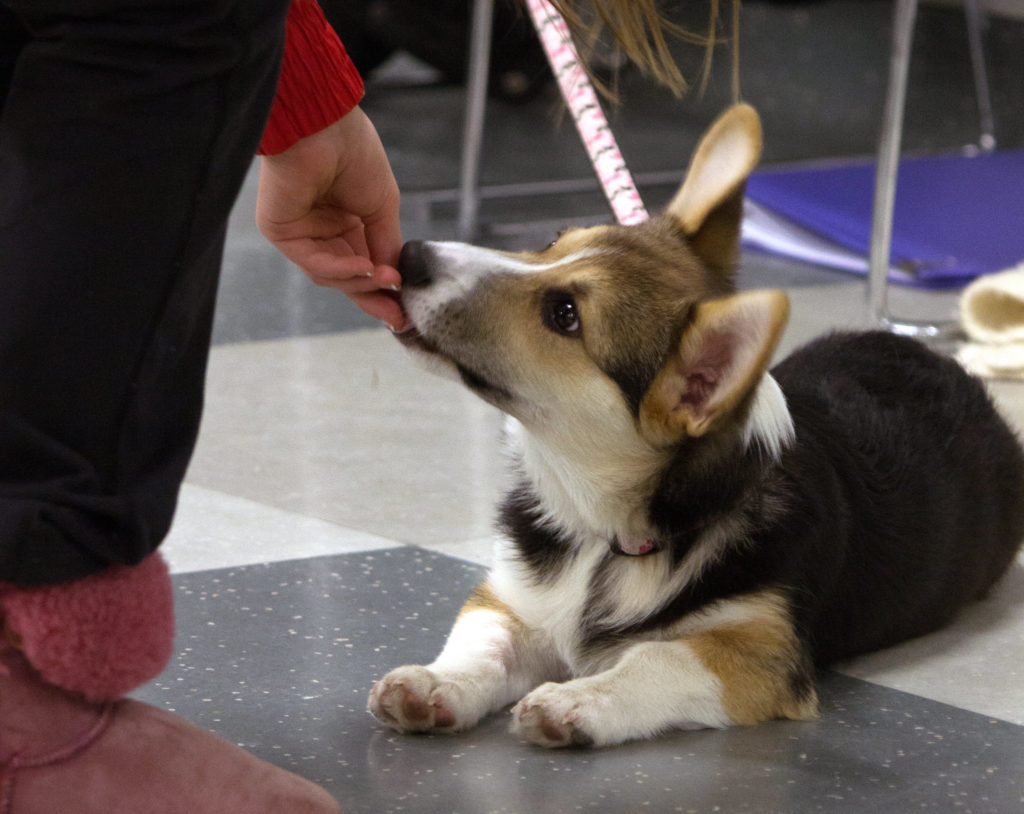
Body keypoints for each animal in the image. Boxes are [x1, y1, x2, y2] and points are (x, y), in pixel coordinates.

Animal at [368, 104, 1024, 749]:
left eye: (565, 315)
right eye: (553, 241)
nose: (411, 255)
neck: (612, 530)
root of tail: (942, 362)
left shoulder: (758, 652)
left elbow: (652, 660)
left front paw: (574, 701)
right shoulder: (513, 601)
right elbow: (483, 643)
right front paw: (433, 685)